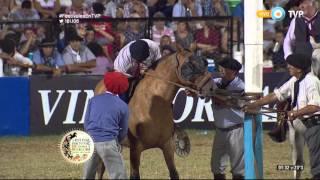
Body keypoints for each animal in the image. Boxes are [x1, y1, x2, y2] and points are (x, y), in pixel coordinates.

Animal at [94, 45, 214, 179]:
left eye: (204, 62)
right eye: (190, 65)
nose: (211, 87)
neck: (153, 105)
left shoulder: (167, 146)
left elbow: (174, 173)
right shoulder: (135, 149)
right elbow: (134, 175)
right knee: (100, 168)